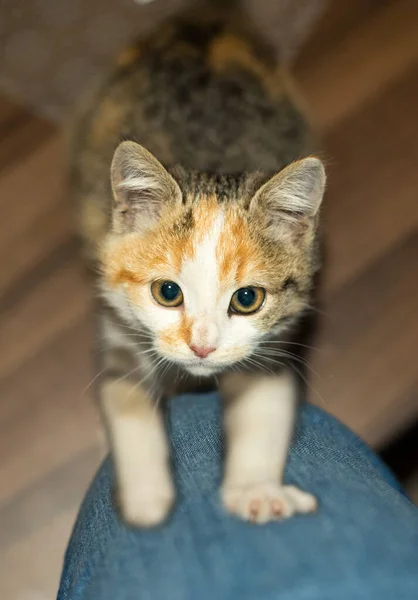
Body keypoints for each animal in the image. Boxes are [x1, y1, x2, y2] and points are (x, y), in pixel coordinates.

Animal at [72, 2, 324, 524]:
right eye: (167, 292)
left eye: (247, 299)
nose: (202, 348)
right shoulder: (117, 321)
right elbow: (123, 395)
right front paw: (147, 500)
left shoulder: (275, 338)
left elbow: (266, 402)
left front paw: (255, 490)